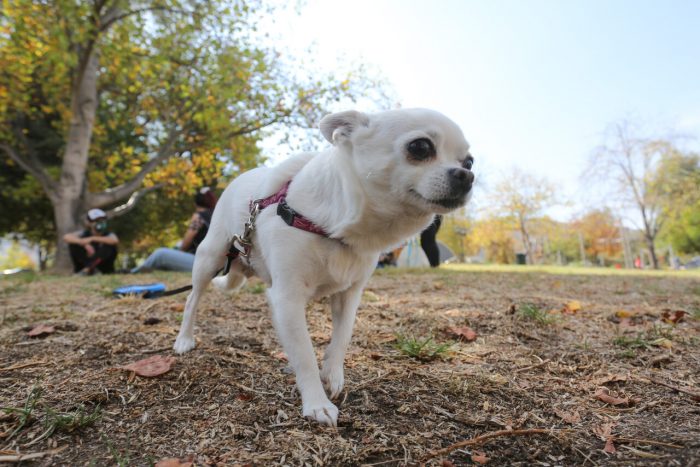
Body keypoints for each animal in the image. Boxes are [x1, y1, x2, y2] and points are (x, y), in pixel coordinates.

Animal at [174, 109, 476, 428]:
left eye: (469, 162)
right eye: (420, 147)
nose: (467, 175)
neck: (339, 231)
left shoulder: (349, 295)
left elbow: (342, 336)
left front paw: (332, 374)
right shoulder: (288, 299)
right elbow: (304, 354)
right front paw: (317, 403)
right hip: (210, 257)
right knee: (192, 300)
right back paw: (184, 339)